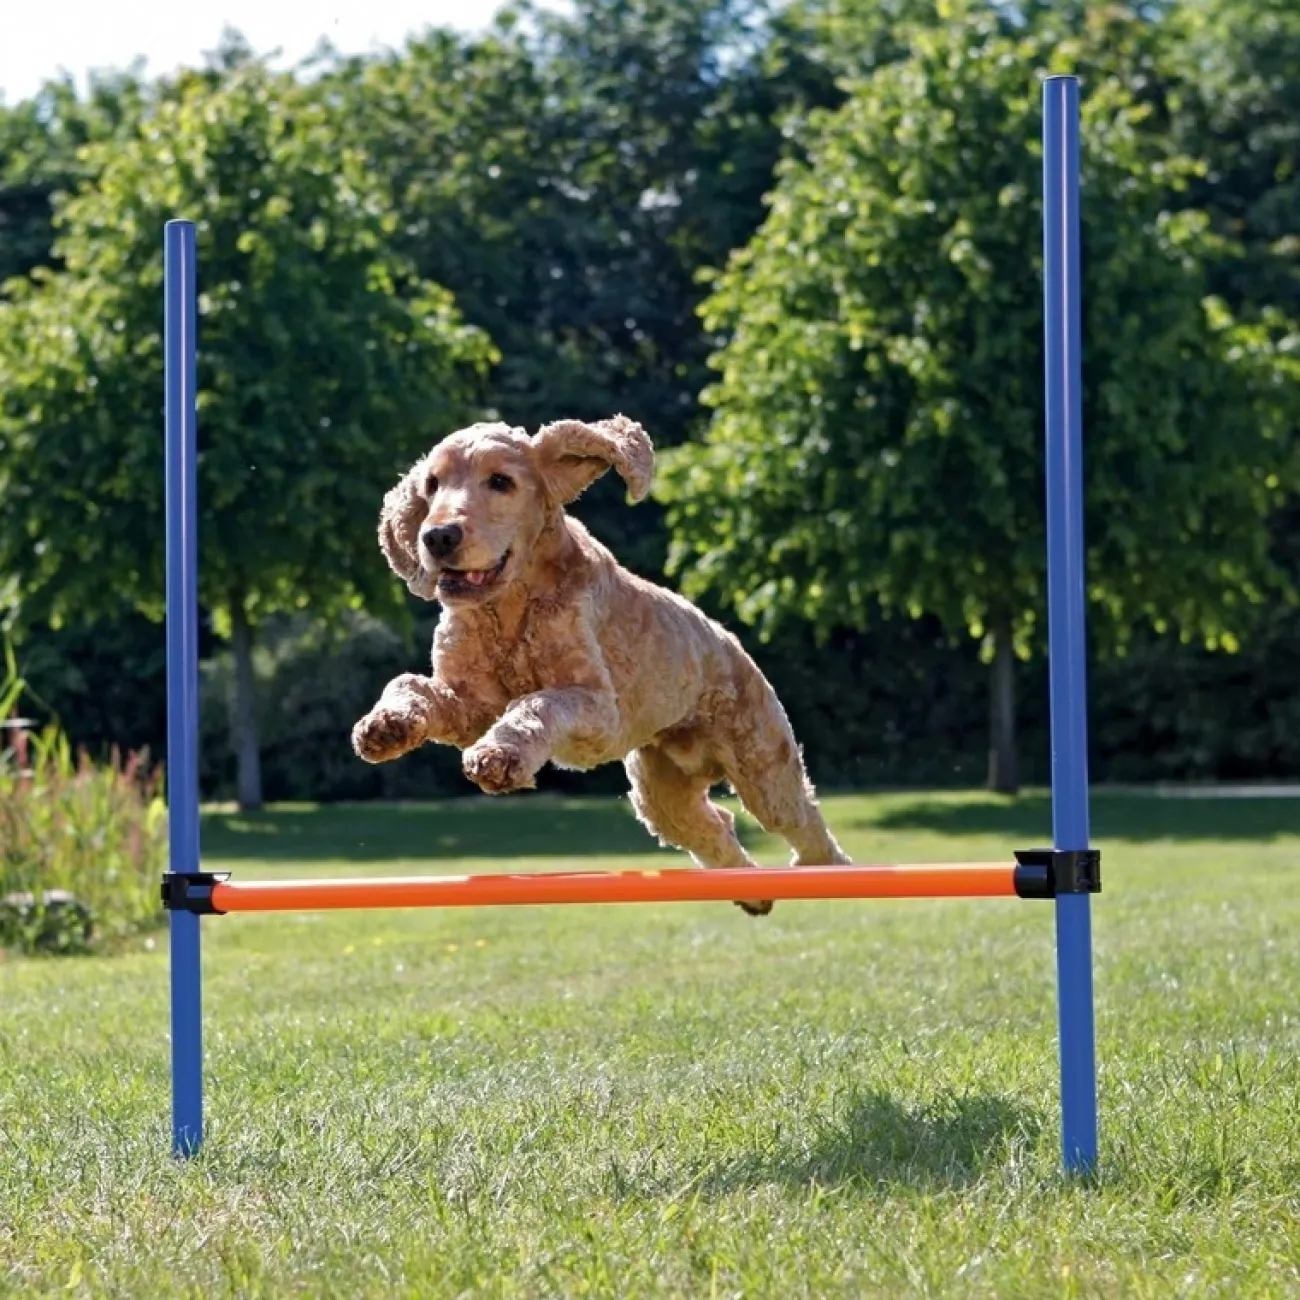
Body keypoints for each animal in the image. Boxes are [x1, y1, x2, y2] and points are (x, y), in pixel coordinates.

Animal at [351, 418, 847, 915]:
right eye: (432, 485)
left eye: (501, 482)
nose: (437, 537)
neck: (509, 607)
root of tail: (730, 640)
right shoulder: (468, 702)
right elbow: (411, 684)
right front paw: (385, 725)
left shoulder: (595, 708)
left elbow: (537, 703)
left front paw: (499, 757)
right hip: (661, 792)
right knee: (715, 826)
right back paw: (753, 892)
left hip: (761, 764)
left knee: (802, 819)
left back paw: (829, 870)